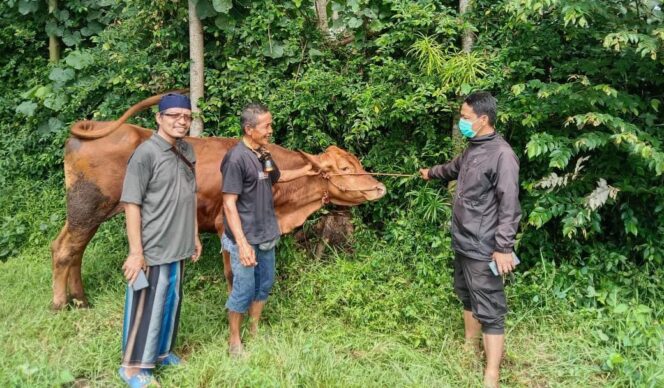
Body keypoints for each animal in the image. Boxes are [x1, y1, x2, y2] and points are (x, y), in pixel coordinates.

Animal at [52, 92, 390, 310]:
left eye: (357, 161)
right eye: (345, 168)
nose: (379, 186)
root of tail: (96, 128)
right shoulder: (225, 225)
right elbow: (233, 275)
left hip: (86, 213)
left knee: (71, 249)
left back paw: (80, 300)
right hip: (87, 208)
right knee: (66, 250)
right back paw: (59, 303)